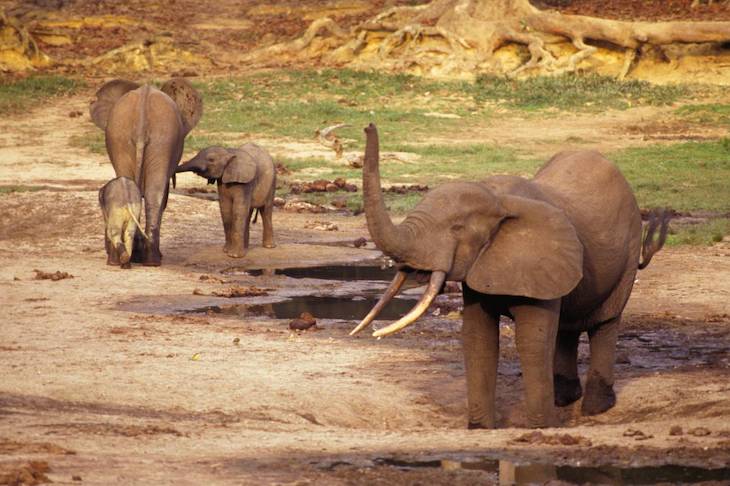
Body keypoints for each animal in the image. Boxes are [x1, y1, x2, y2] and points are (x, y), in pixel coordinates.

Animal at [89, 77, 203, 266]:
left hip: (145, 139)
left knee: (149, 193)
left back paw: (141, 260)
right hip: (152, 139)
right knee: (153, 194)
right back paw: (147, 260)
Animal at [351, 123, 669, 429]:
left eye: (456, 228)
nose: (368, 125)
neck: (498, 200)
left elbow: (532, 341)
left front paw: (542, 428)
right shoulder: (483, 263)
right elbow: (478, 338)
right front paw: (480, 428)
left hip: (628, 251)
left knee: (604, 322)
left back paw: (595, 407)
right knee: (566, 326)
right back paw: (564, 398)